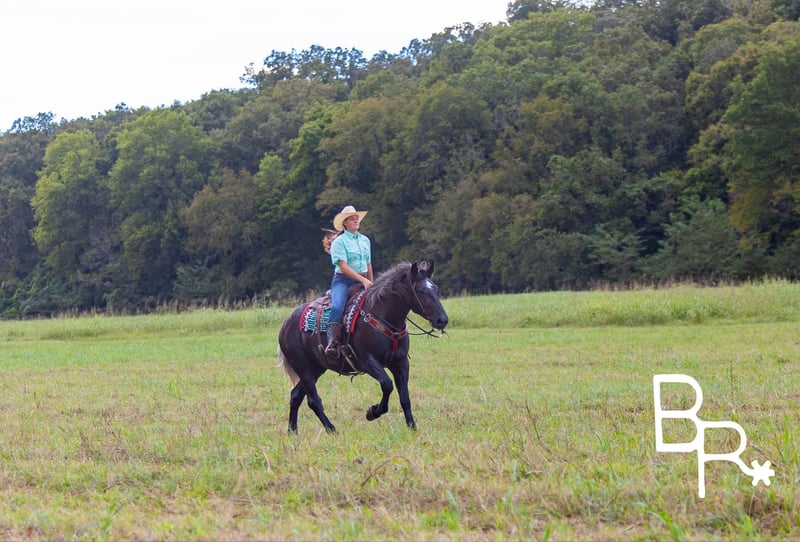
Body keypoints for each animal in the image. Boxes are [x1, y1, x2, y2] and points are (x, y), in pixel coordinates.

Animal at [278, 261, 449, 433]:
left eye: (435, 288)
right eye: (420, 290)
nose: (442, 320)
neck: (383, 317)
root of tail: (286, 323)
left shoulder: (400, 362)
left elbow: (405, 397)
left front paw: (412, 426)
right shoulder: (367, 361)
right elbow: (387, 385)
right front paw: (372, 412)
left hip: (316, 368)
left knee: (295, 396)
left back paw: (292, 431)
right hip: (304, 367)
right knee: (313, 400)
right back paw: (332, 430)